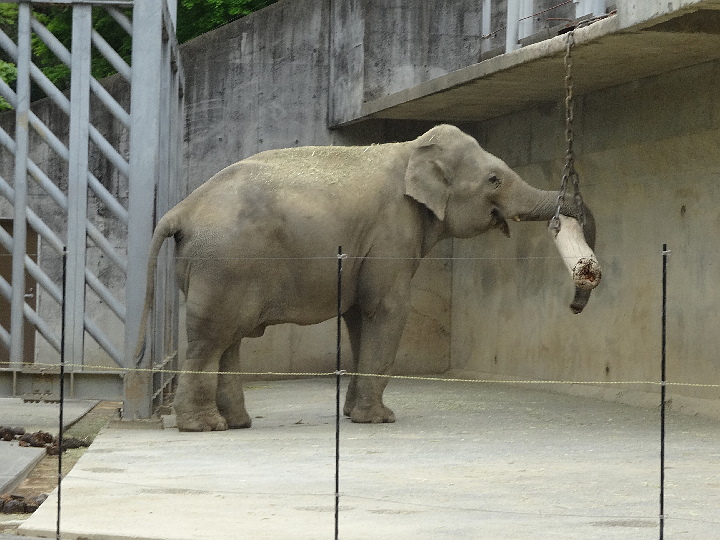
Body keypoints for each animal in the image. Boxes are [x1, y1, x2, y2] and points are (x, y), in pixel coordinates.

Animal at [136, 124, 597, 432]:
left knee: (227, 339)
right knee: (212, 339)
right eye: (494, 179)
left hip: (215, 268)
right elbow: (386, 309)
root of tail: (180, 210)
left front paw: (353, 414)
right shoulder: (392, 230)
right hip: (226, 265)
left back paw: (237, 423)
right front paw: (379, 419)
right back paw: (205, 427)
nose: (578, 298)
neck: (411, 149)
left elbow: (359, 316)